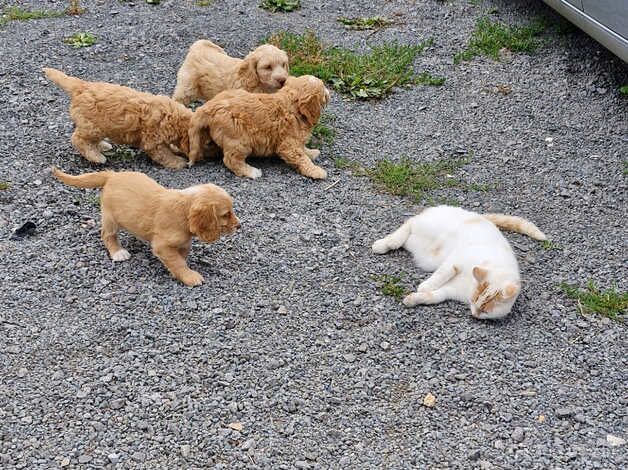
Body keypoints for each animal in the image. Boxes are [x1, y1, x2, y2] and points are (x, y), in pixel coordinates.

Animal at [43, 66, 194, 169]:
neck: (172, 117)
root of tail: (82, 86)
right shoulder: (152, 141)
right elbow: (164, 154)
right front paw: (178, 162)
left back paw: (102, 146)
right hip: (93, 126)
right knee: (78, 139)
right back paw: (96, 157)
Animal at [52, 169, 240, 286]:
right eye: (225, 214)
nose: (239, 226)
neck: (183, 210)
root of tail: (112, 175)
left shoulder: (183, 242)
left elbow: (181, 256)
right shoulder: (162, 245)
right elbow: (178, 262)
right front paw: (189, 276)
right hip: (110, 218)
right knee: (107, 235)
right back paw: (118, 252)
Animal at [189, 75, 332, 180]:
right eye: (323, 88)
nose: (329, 93)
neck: (293, 107)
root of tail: (208, 107)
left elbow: (303, 150)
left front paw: (311, 152)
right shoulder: (288, 144)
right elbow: (301, 158)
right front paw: (316, 171)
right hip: (240, 140)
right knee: (231, 160)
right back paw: (252, 172)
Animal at [370, 206, 548, 320]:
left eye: (484, 310)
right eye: (476, 300)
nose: (474, 314)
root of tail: (479, 215)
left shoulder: (450, 291)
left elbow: (435, 296)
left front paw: (414, 299)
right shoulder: (455, 262)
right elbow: (441, 274)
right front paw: (425, 286)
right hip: (431, 225)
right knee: (410, 222)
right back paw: (384, 244)